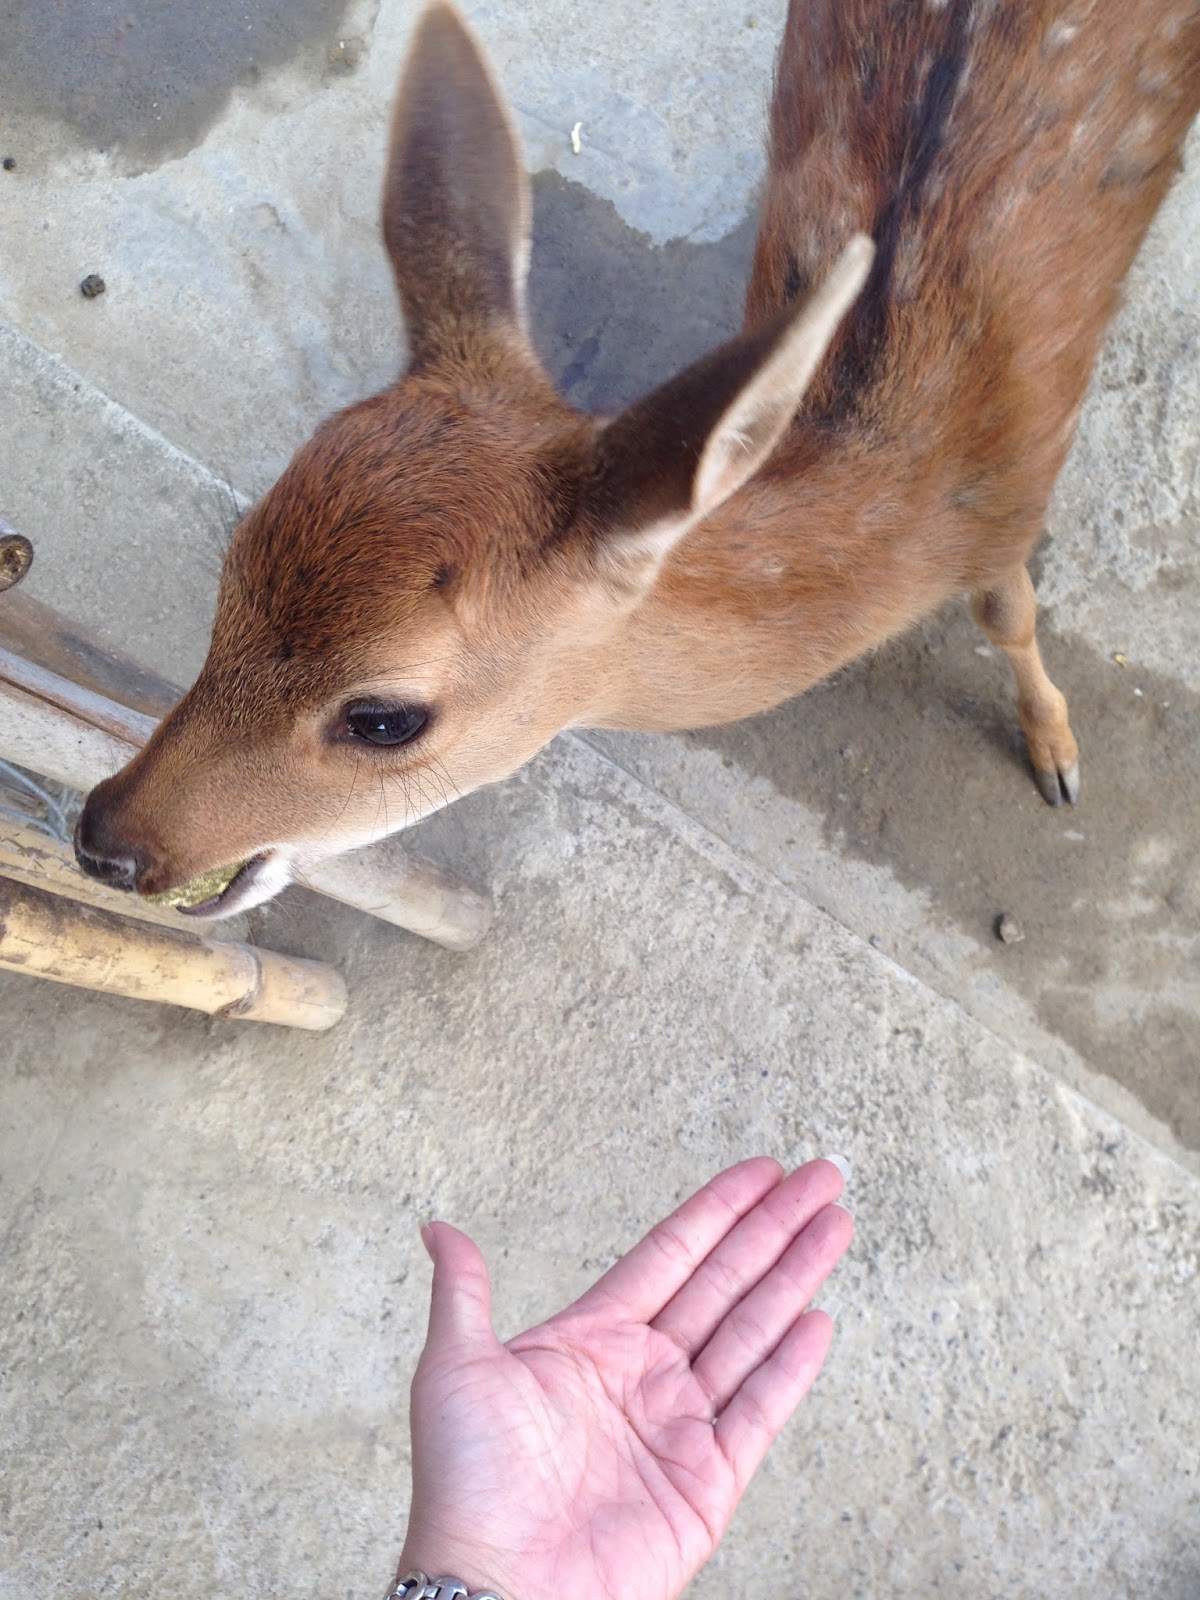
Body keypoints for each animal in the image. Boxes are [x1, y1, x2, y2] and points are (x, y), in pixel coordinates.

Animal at [75, 0, 1200, 919]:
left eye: (383, 717)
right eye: (230, 571)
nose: (109, 842)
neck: (911, 502)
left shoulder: (1015, 501)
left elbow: (1009, 613)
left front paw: (1058, 758)